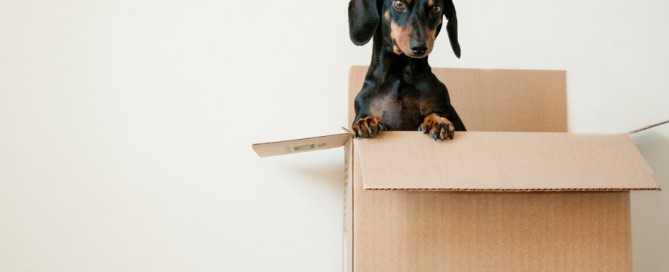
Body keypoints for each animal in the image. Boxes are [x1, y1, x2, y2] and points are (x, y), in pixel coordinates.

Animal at [348, 0, 468, 140]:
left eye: (436, 9)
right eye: (399, 4)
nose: (420, 47)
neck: (400, 73)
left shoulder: (446, 109)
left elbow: (438, 114)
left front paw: (438, 121)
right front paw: (366, 121)